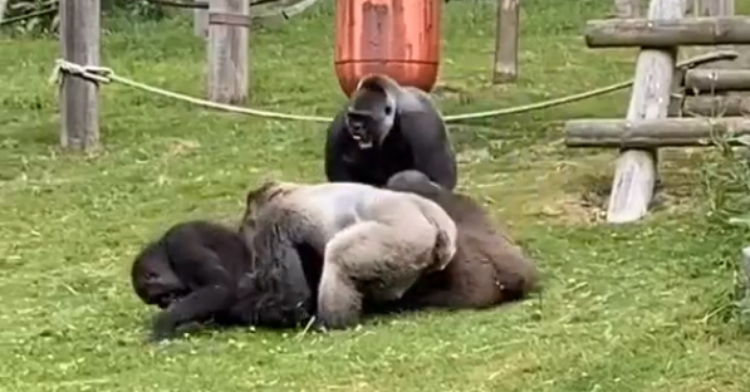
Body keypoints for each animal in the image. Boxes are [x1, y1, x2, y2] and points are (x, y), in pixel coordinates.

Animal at [241, 181, 458, 330]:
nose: (244, 228)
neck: (285, 190)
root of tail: (436, 220)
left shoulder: (274, 220)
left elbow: (289, 291)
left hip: (405, 237)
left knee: (337, 258)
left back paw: (331, 322)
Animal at [324, 73, 458, 191]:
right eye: (353, 116)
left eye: (366, 118)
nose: (355, 127)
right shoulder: (343, 118)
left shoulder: (421, 122)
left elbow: (439, 179)